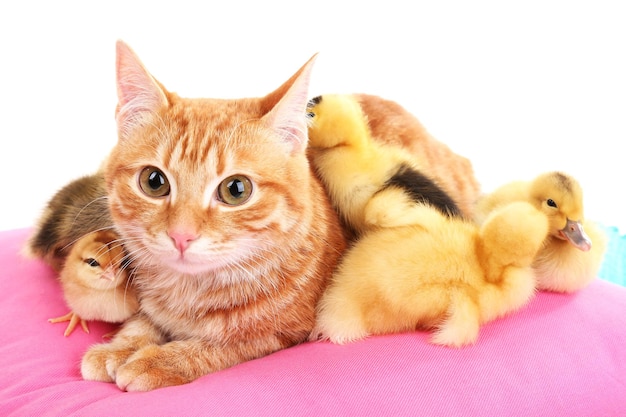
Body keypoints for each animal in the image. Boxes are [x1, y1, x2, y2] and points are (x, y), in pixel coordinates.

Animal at [78, 42, 346, 390]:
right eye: (154, 181)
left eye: (236, 190)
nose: (181, 236)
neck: (189, 291)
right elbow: (142, 320)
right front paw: (120, 347)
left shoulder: (285, 334)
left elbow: (225, 345)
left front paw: (160, 360)